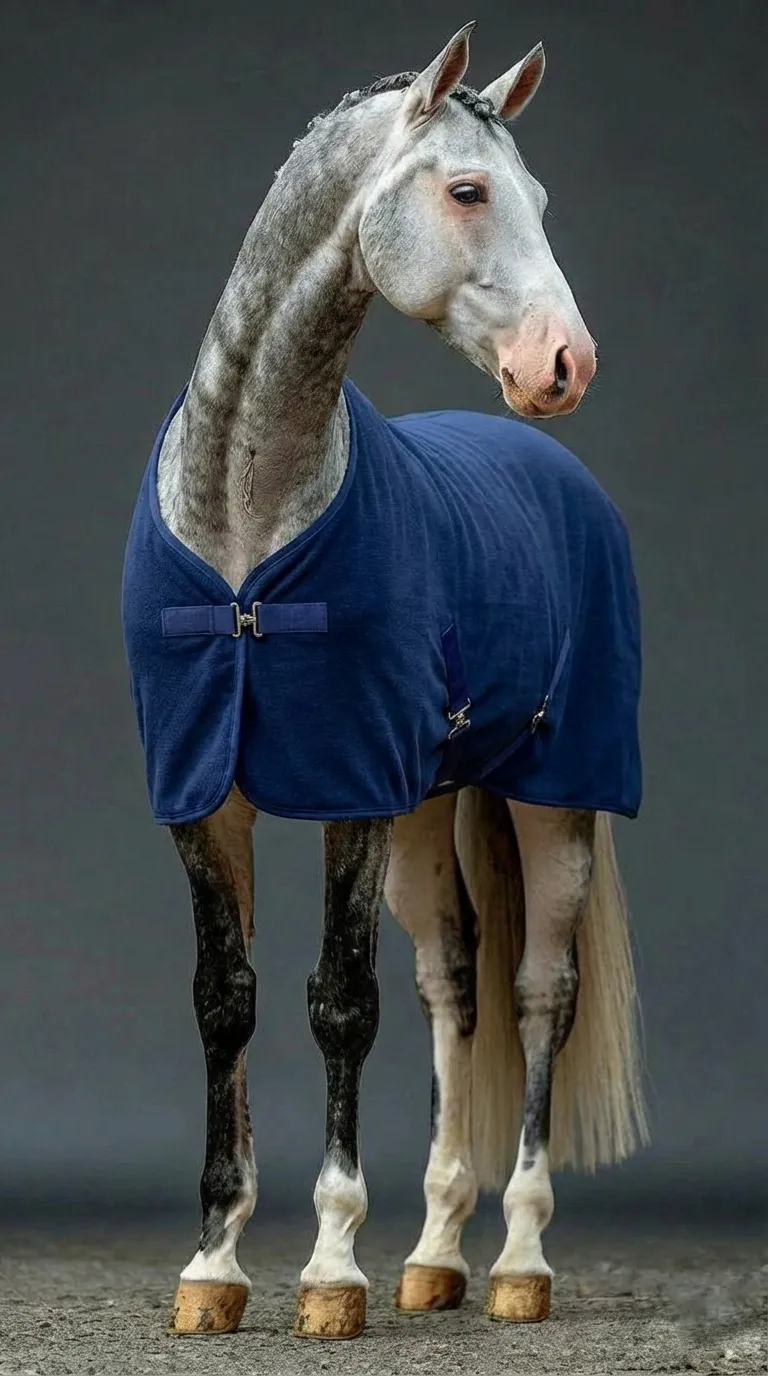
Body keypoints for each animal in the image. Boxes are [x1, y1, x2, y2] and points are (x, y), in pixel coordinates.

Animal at [121, 22, 648, 1342]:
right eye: (466, 191)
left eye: (539, 198)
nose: (565, 362)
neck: (247, 527)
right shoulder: (207, 794)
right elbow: (228, 998)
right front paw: (214, 1265)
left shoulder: (347, 784)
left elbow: (340, 1002)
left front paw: (329, 1269)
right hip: (426, 809)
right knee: (453, 979)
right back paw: (438, 1253)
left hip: (554, 796)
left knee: (536, 991)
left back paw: (517, 1260)